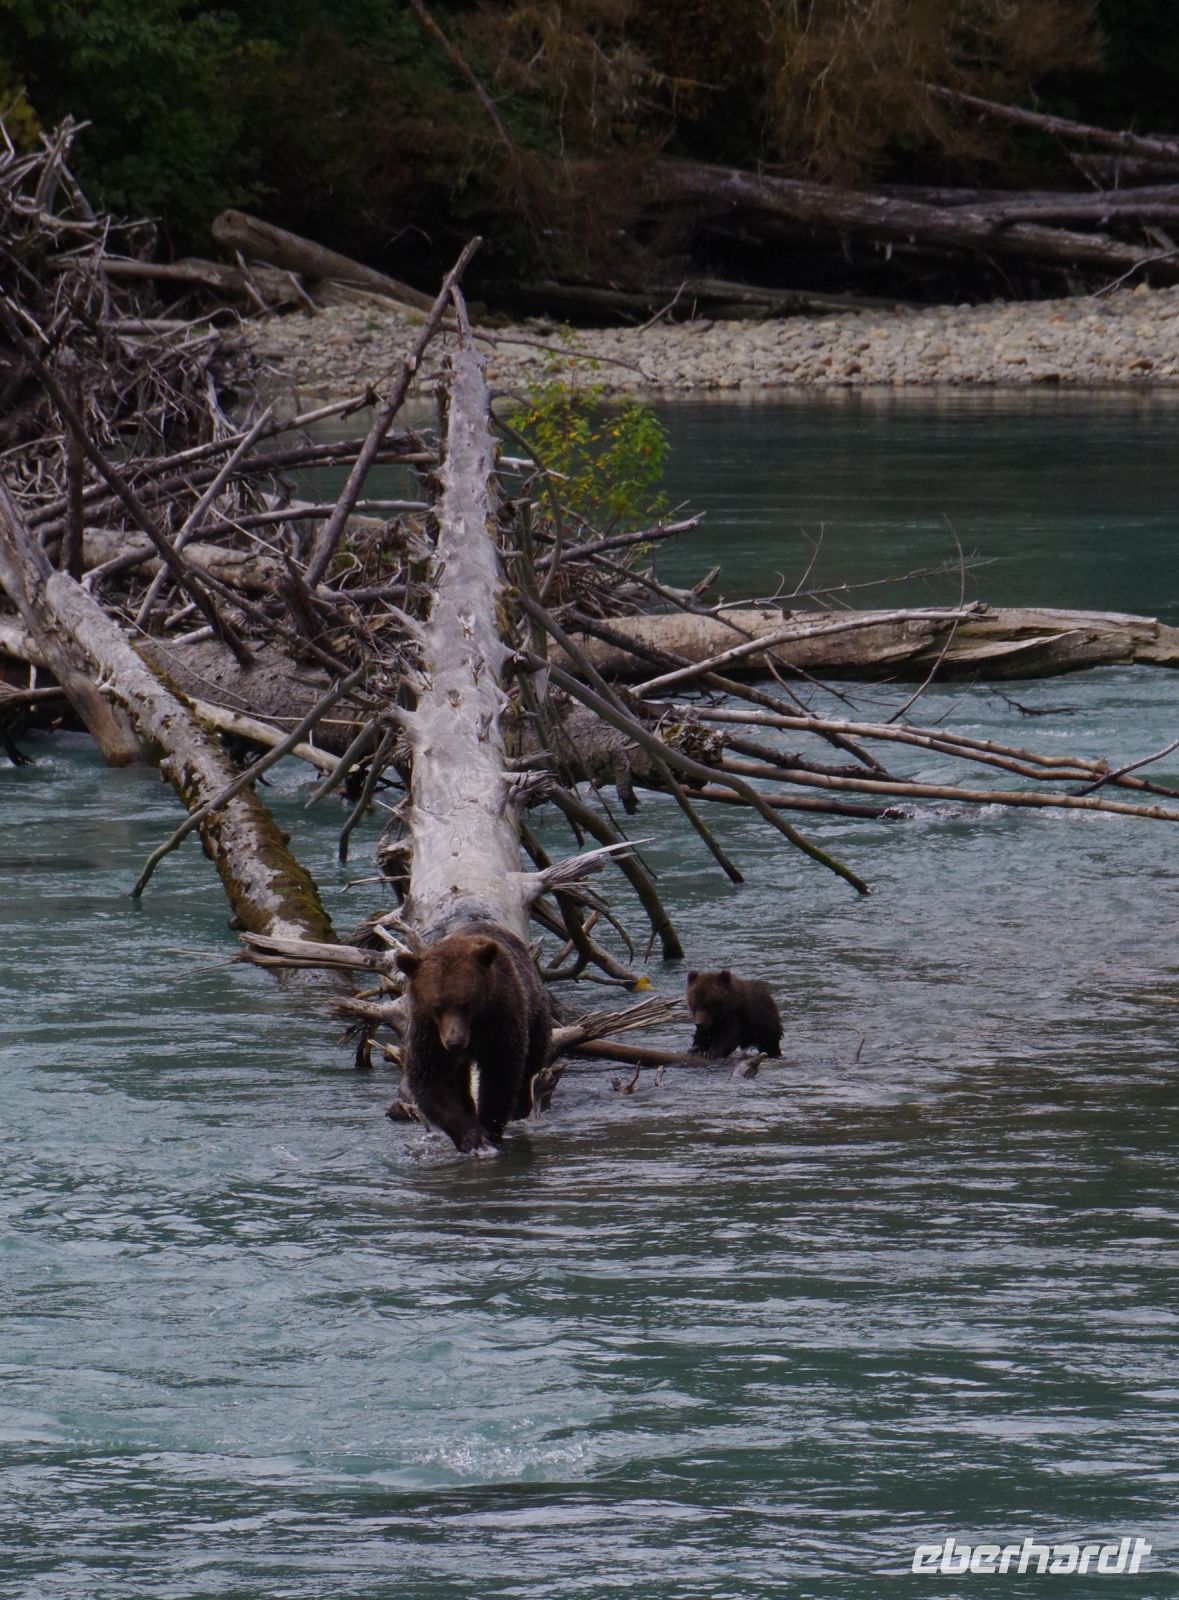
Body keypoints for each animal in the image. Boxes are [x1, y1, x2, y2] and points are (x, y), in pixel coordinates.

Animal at [396, 921, 552, 1153]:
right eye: (437, 1006)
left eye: (465, 1003)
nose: (454, 1042)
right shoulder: (428, 1032)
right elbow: (430, 1078)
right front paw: (470, 1135)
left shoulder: (498, 1019)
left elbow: (500, 1071)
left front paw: (490, 1128)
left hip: (534, 1011)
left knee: (531, 1061)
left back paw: (520, 1108)